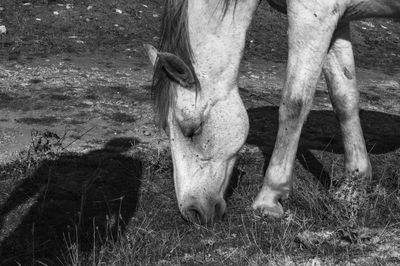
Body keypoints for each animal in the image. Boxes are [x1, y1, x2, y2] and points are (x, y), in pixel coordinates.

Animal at [145, 0, 400, 224]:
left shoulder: (314, 16)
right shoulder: (338, 20)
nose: (192, 212)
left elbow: (294, 104)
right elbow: (343, 98)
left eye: (192, 129)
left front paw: (269, 197)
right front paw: (354, 183)